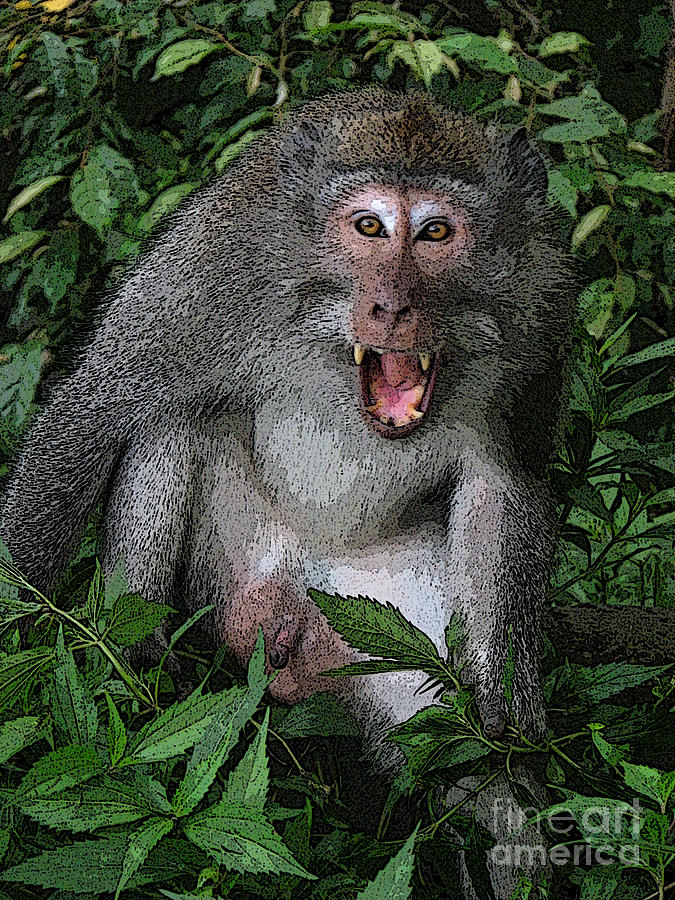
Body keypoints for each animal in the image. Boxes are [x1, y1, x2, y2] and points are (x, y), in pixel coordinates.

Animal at [1, 86, 576, 765]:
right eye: (369, 226)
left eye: (436, 231)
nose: (391, 306)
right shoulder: (215, 265)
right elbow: (99, 406)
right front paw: (21, 629)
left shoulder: (542, 315)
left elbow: (502, 481)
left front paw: (505, 708)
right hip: (228, 561)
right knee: (168, 420)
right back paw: (139, 665)